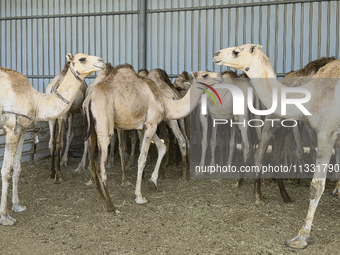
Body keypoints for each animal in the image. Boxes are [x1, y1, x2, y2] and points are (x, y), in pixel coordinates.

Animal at [0, 52, 105, 224]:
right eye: (82, 58)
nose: (102, 61)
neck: (36, 99)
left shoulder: (22, 129)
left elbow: (17, 167)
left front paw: (17, 206)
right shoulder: (11, 128)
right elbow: (6, 170)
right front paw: (4, 216)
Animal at [81, 64, 222, 212]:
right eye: (205, 75)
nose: (219, 76)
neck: (165, 102)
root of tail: (89, 99)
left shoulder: (146, 126)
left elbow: (162, 147)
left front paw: (152, 181)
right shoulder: (151, 124)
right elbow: (142, 159)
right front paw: (139, 196)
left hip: (92, 130)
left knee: (92, 163)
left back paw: (100, 196)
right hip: (104, 126)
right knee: (101, 166)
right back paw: (112, 206)